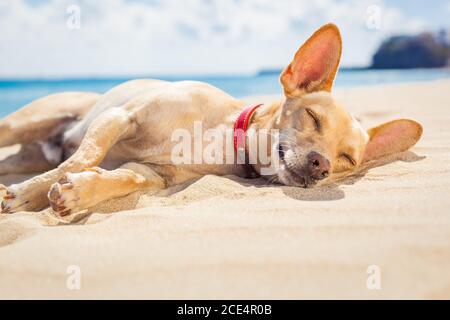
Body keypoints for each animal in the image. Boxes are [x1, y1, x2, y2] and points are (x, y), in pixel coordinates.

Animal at [0, 23, 422, 216]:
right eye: (313, 117)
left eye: (347, 159)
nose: (322, 166)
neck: (222, 136)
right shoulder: (121, 117)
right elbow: (83, 158)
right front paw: (29, 192)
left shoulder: (154, 174)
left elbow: (123, 178)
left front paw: (78, 192)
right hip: (24, 124)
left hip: (27, 153)